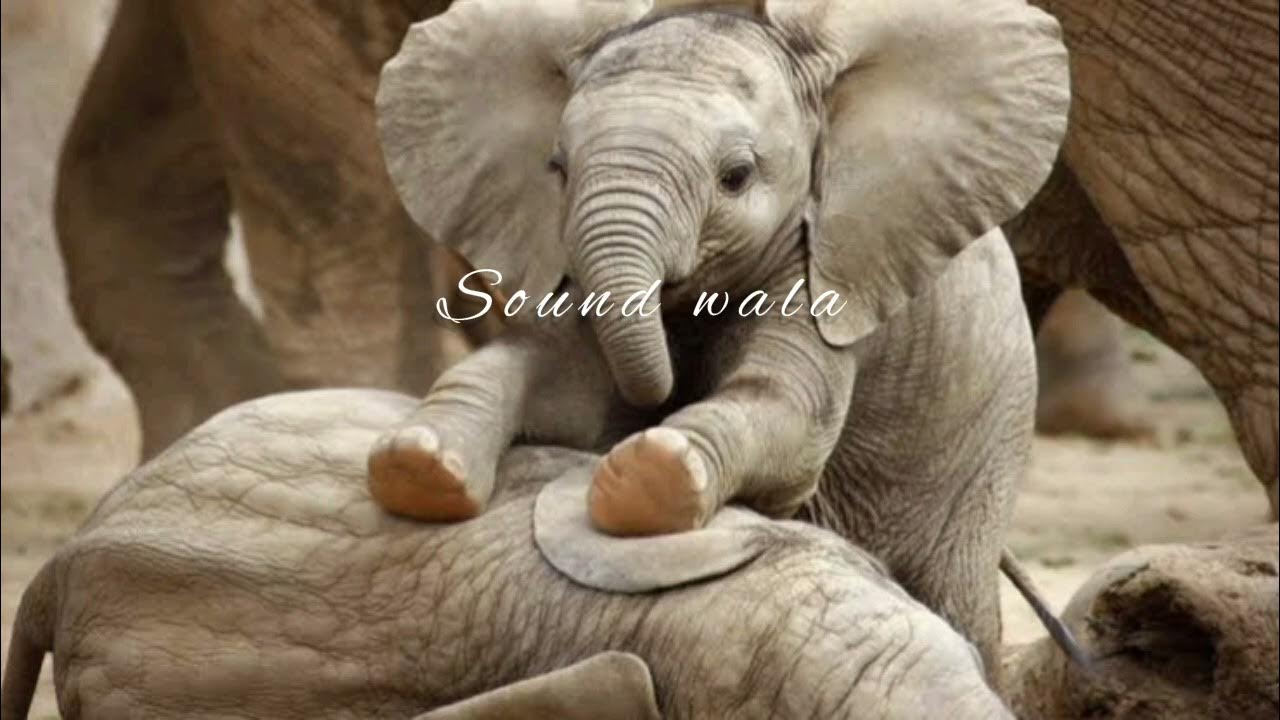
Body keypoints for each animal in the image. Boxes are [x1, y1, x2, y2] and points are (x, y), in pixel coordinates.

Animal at [365, 0, 1070, 674]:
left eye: (736, 176)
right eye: (556, 169)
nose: (661, 398)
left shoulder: (824, 264)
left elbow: (789, 412)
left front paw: (648, 475)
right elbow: (560, 385)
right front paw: (416, 464)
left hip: (988, 441)